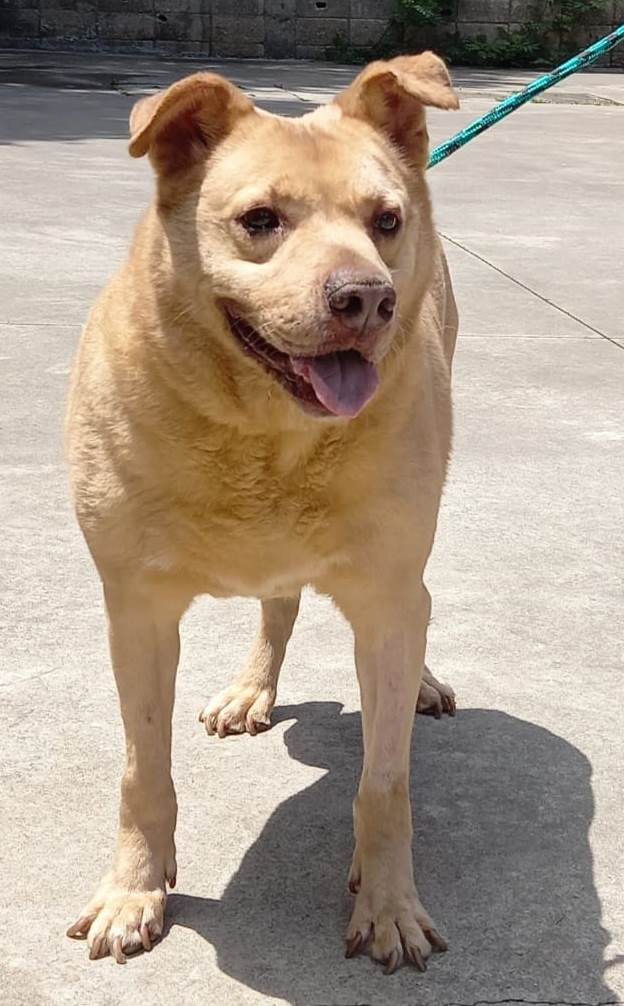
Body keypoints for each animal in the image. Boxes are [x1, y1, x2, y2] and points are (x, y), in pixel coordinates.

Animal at [65, 55, 460, 973]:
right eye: (259, 221)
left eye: (386, 221)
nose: (368, 299)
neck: (269, 436)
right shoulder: (135, 610)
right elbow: (142, 770)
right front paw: (134, 892)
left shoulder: (386, 598)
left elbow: (385, 781)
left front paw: (389, 904)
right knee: (277, 605)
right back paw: (252, 688)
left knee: (417, 609)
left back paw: (419, 683)